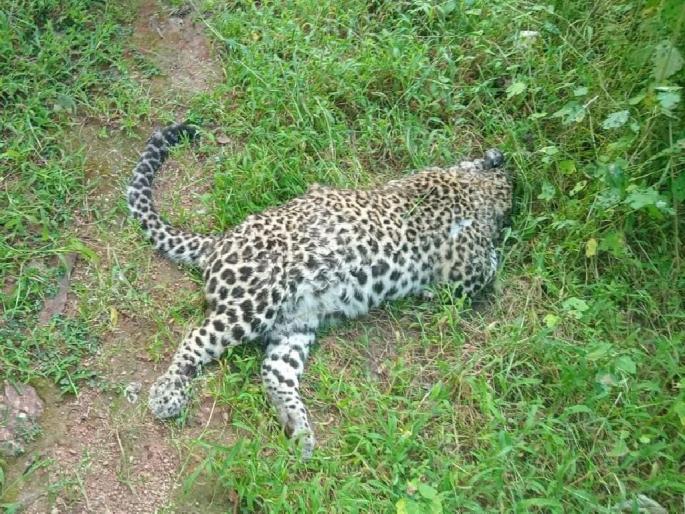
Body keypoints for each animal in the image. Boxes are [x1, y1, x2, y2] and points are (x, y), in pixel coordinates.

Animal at [127, 122, 512, 459]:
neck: (473, 186)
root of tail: (217, 242)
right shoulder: (465, 269)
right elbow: (487, 267)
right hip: (256, 302)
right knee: (196, 337)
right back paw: (167, 394)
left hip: (296, 324)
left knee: (273, 373)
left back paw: (298, 429)